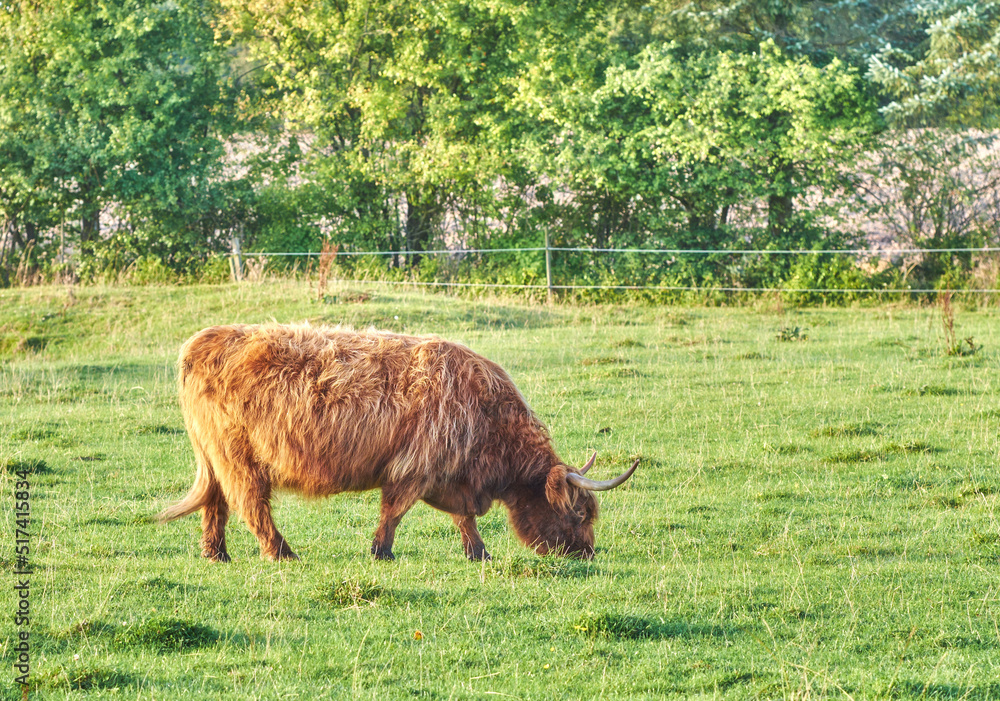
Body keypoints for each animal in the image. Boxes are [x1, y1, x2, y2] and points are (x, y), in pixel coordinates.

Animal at [159, 324, 636, 564]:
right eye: (579, 513)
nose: (588, 553)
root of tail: (201, 339)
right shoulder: (416, 466)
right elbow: (395, 511)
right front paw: (381, 552)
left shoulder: (448, 476)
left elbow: (463, 518)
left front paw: (478, 553)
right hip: (237, 455)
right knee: (250, 503)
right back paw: (282, 553)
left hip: (216, 455)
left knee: (216, 503)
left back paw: (216, 555)